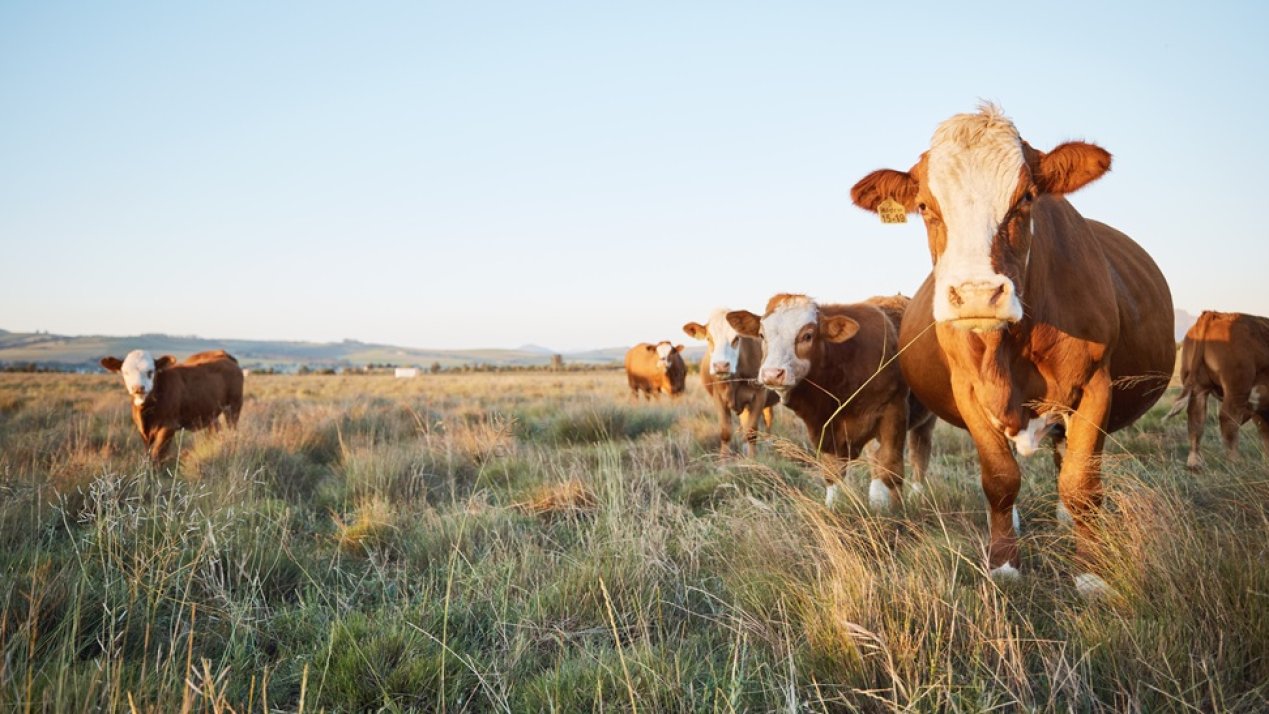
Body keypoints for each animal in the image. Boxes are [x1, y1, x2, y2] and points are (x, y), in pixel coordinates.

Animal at [100, 349, 244, 463]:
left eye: (150, 371)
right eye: (125, 372)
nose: (138, 388)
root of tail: (224, 355)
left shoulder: (168, 426)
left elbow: (157, 454)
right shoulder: (142, 430)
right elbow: (148, 453)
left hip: (234, 407)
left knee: (233, 432)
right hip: (211, 413)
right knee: (216, 431)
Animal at [682, 309, 780, 456]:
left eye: (736, 339)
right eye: (709, 339)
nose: (721, 365)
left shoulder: (759, 395)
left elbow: (751, 432)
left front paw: (752, 459)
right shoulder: (718, 398)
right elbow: (726, 433)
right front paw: (724, 461)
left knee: (768, 420)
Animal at [727, 294, 936, 509]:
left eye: (808, 335)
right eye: (762, 335)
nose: (772, 374)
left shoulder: (893, 412)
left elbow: (888, 468)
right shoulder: (824, 429)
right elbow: (833, 474)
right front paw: (832, 506)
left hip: (926, 420)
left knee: (919, 453)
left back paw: (916, 495)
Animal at [850, 104, 1174, 597]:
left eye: (1026, 198)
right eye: (924, 206)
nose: (978, 294)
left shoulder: (1095, 385)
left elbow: (1081, 482)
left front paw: (1091, 573)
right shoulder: (969, 393)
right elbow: (999, 479)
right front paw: (1004, 563)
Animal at [1166, 310, 1269, 468]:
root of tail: (1214, 314)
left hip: (1199, 387)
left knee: (1196, 420)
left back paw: (1194, 463)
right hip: (1237, 387)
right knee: (1228, 419)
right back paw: (1235, 462)